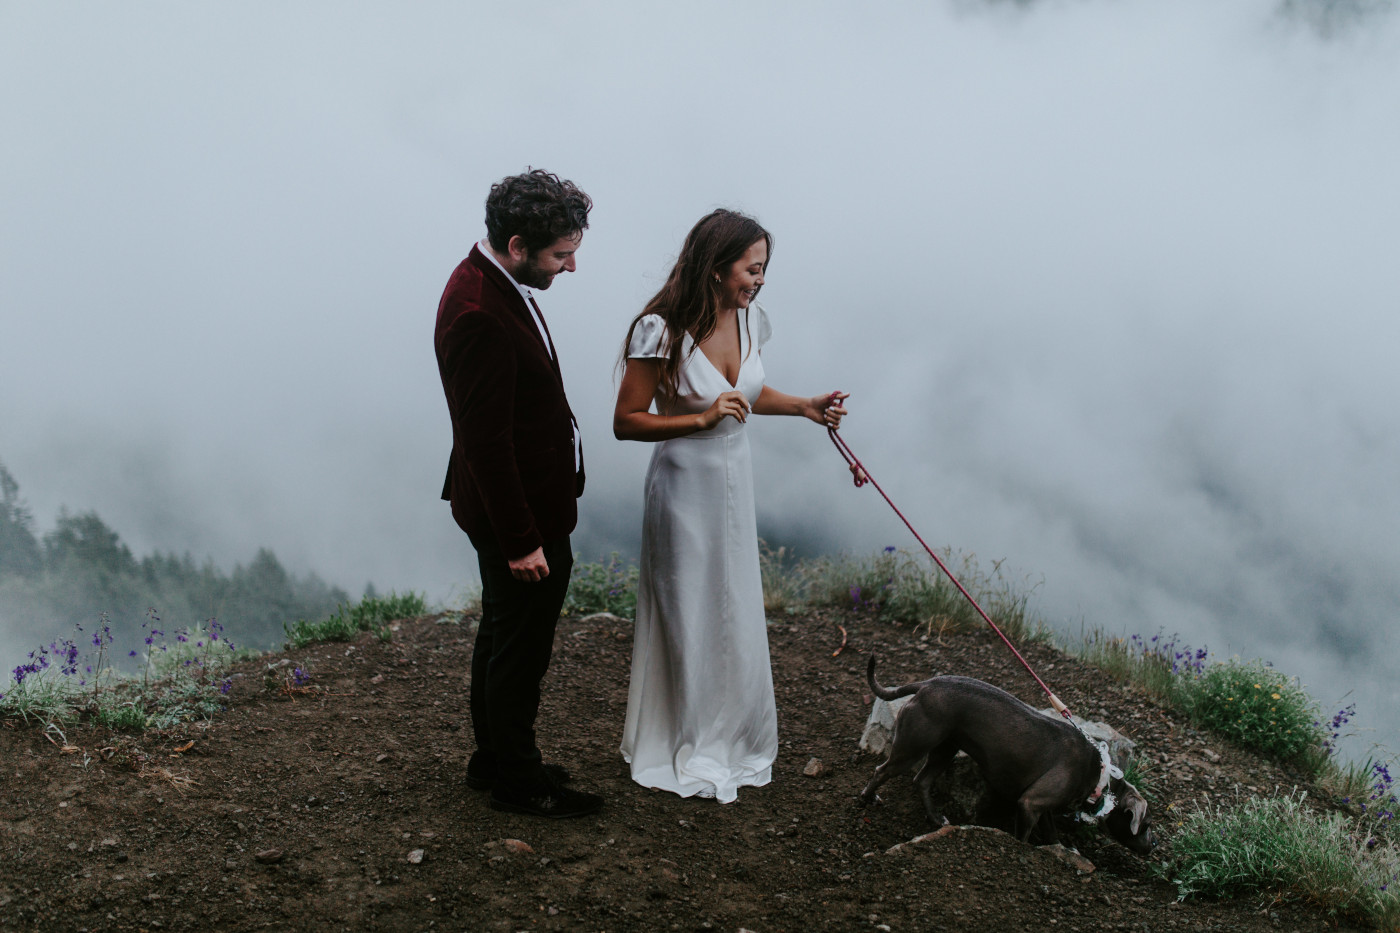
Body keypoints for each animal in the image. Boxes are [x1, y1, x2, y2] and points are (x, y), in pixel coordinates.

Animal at [856, 652, 1153, 851]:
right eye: (1146, 825)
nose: (1156, 845)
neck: (1098, 771)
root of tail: (926, 684)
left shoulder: (1044, 804)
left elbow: (1051, 831)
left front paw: (1061, 848)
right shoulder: (1030, 803)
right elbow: (1024, 836)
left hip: (945, 748)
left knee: (923, 780)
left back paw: (936, 817)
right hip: (913, 746)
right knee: (882, 770)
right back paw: (866, 799)